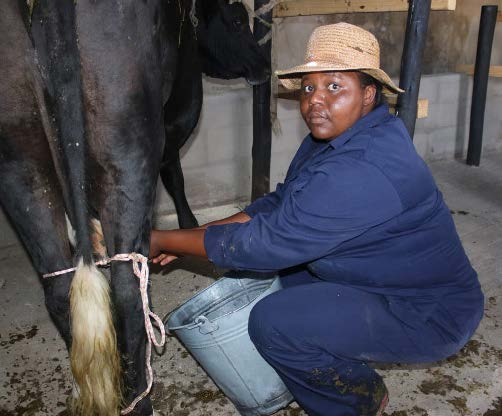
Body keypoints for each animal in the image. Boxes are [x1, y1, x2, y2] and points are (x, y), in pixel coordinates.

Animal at [0, 1, 270, 414]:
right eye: (239, 19)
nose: (264, 65)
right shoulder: (173, 123)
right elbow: (175, 178)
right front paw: (188, 229)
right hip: (127, 135)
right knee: (127, 291)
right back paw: (138, 398)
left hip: (19, 156)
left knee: (60, 289)